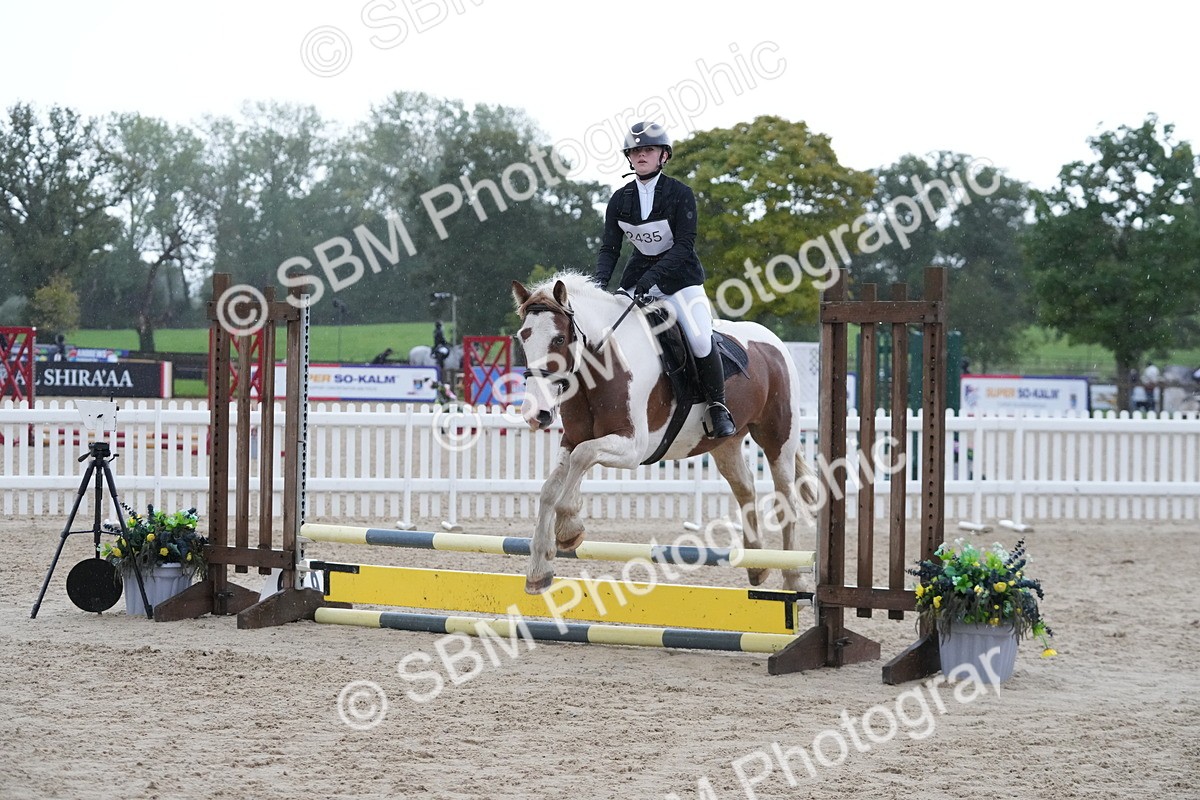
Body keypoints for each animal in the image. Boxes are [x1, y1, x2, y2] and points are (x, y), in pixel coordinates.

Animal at [512, 272, 816, 595]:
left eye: (558, 339)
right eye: (523, 337)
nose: (536, 414)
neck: (603, 362)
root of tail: (773, 342)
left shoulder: (632, 447)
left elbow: (584, 457)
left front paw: (569, 528)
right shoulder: (572, 439)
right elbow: (549, 489)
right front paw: (539, 569)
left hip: (778, 438)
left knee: (785, 499)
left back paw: (794, 577)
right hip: (725, 443)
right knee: (745, 486)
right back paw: (757, 564)